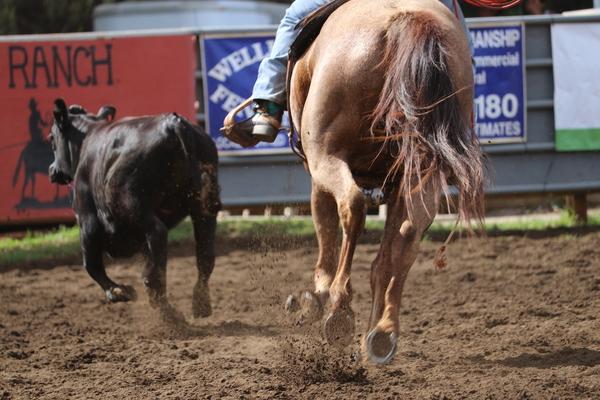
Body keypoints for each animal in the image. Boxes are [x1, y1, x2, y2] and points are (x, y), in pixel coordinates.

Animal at [284, 0, 482, 364]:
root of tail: (404, 21)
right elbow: (385, 254)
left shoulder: (317, 174)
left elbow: (326, 230)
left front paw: (316, 296)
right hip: (422, 171)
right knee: (407, 235)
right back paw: (383, 333)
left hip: (326, 155)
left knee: (352, 206)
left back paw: (340, 308)